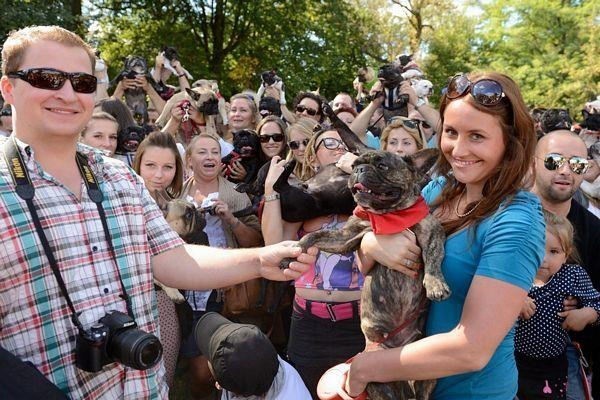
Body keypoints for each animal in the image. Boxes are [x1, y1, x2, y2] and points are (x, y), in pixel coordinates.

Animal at [298, 148, 448, 398]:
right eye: (354, 165)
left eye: (382, 166)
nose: (358, 169)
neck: (388, 215)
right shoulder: (345, 237)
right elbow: (315, 236)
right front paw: (294, 251)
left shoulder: (431, 231)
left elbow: (433, 258)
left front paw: (435, 284)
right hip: (376, 378)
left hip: (428, 366)